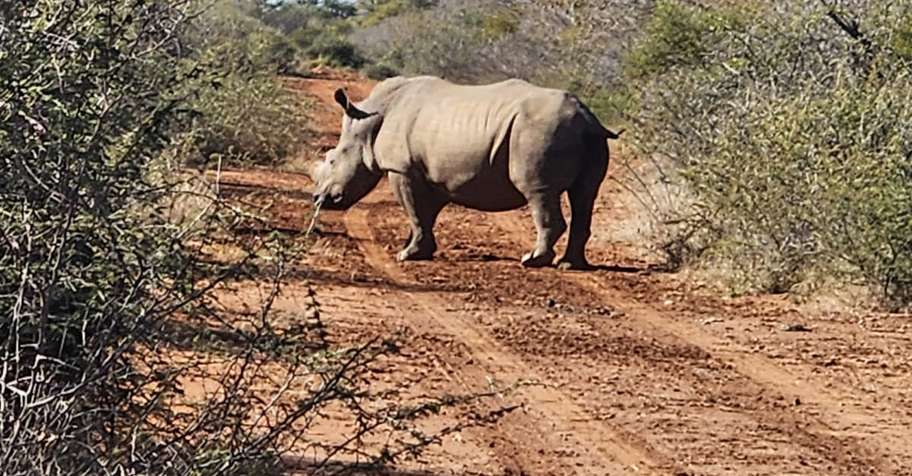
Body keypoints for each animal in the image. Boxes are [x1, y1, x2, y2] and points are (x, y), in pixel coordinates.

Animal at [311, 75, 621, 269]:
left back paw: (531, 260)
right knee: (585, 195)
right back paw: (570, 265)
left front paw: (406, 255)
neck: (368, 121)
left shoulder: (402, 169)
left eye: (331, 160)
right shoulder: (433, 175)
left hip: (539, 132)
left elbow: (414, 211)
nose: (318, 199)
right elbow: (424, 214)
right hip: (584, 137)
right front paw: (418, 250)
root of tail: (587, 118)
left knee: (539, 192)